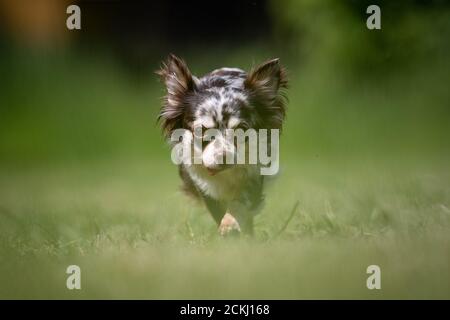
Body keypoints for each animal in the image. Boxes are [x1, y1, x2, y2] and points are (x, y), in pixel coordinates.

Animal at [156, 54, 286, 235]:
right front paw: (226, 227)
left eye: (241, 130)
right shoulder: (203, 186)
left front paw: (230, 223)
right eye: (201, 130)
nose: (223, 157)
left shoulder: (255, 176)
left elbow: (241, 202)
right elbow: (216, 209)